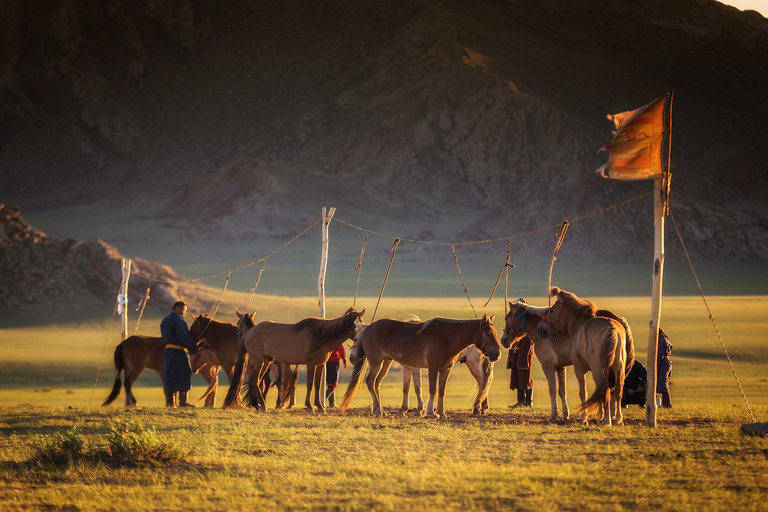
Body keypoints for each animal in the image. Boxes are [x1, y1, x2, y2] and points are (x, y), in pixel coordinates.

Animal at [222, 308, 366, 412]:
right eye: (360, 323)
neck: (321, 336)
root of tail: (249, 333)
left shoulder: (320, 365)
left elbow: (317, 384)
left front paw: (320, 407)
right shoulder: (310, 364)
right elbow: (309, 384)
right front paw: (309, 406)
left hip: (266, 361)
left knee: (256, 381)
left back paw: (259, 405)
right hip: (258, 361)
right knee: (256, 380)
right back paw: (262, 405)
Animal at [340, 314, 500, 418]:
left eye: (495, 332)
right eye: (487, 333)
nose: (497, 354)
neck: (447, 337)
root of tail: (369, 329)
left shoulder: (445, 369)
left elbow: (441, 390)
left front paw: (441, 413)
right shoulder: (432, 367)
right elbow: (431, 389)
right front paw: (429, 412)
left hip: (385, 362)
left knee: (376, 383)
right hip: (376, 362)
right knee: (371, 382)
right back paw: (378, 410)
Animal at [500, 298, 632, 422]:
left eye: (507, 318)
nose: (503, 340)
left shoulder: (548, 367)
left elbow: (552, 390)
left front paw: (553, 415)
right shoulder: (560, 367)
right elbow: (562, 391)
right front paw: (565, 415)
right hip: (617, 367)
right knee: (614, 389)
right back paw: (613, 416)